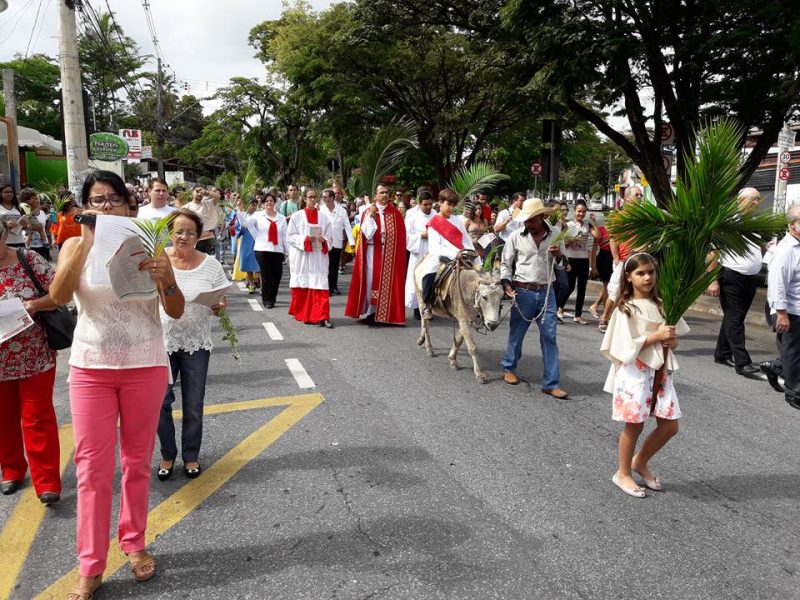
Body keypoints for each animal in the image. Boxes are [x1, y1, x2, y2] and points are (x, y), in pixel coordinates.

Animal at [414, 253, 505, 384]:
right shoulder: (463, 319)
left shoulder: (467, 319)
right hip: (420, 297)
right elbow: (472, 347)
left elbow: (458, 340)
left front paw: (452, 359)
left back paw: (421, 339)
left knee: (423, 321)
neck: (468, 289)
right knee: (425, 324)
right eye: (484, 297)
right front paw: (479, 374)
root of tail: (424, 258)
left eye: (502, 296)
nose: (493, 324)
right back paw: (429, 348)